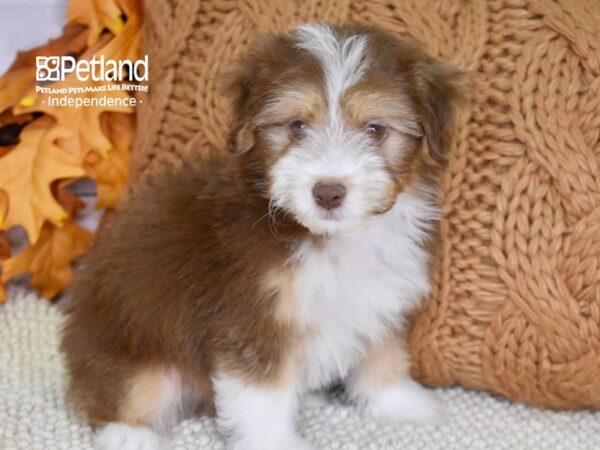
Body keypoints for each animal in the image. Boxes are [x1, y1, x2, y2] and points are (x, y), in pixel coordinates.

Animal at [61, 22, 466, 450]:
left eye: (375, 129)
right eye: (296, 126)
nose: (328, 192)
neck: (328, 238)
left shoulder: (379, 298)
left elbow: (384, 354)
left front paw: (399, 402)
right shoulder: (252, 320)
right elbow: (262, 397)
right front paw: (276, 441)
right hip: (140, 358)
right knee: (123, 394)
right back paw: (131, 434)